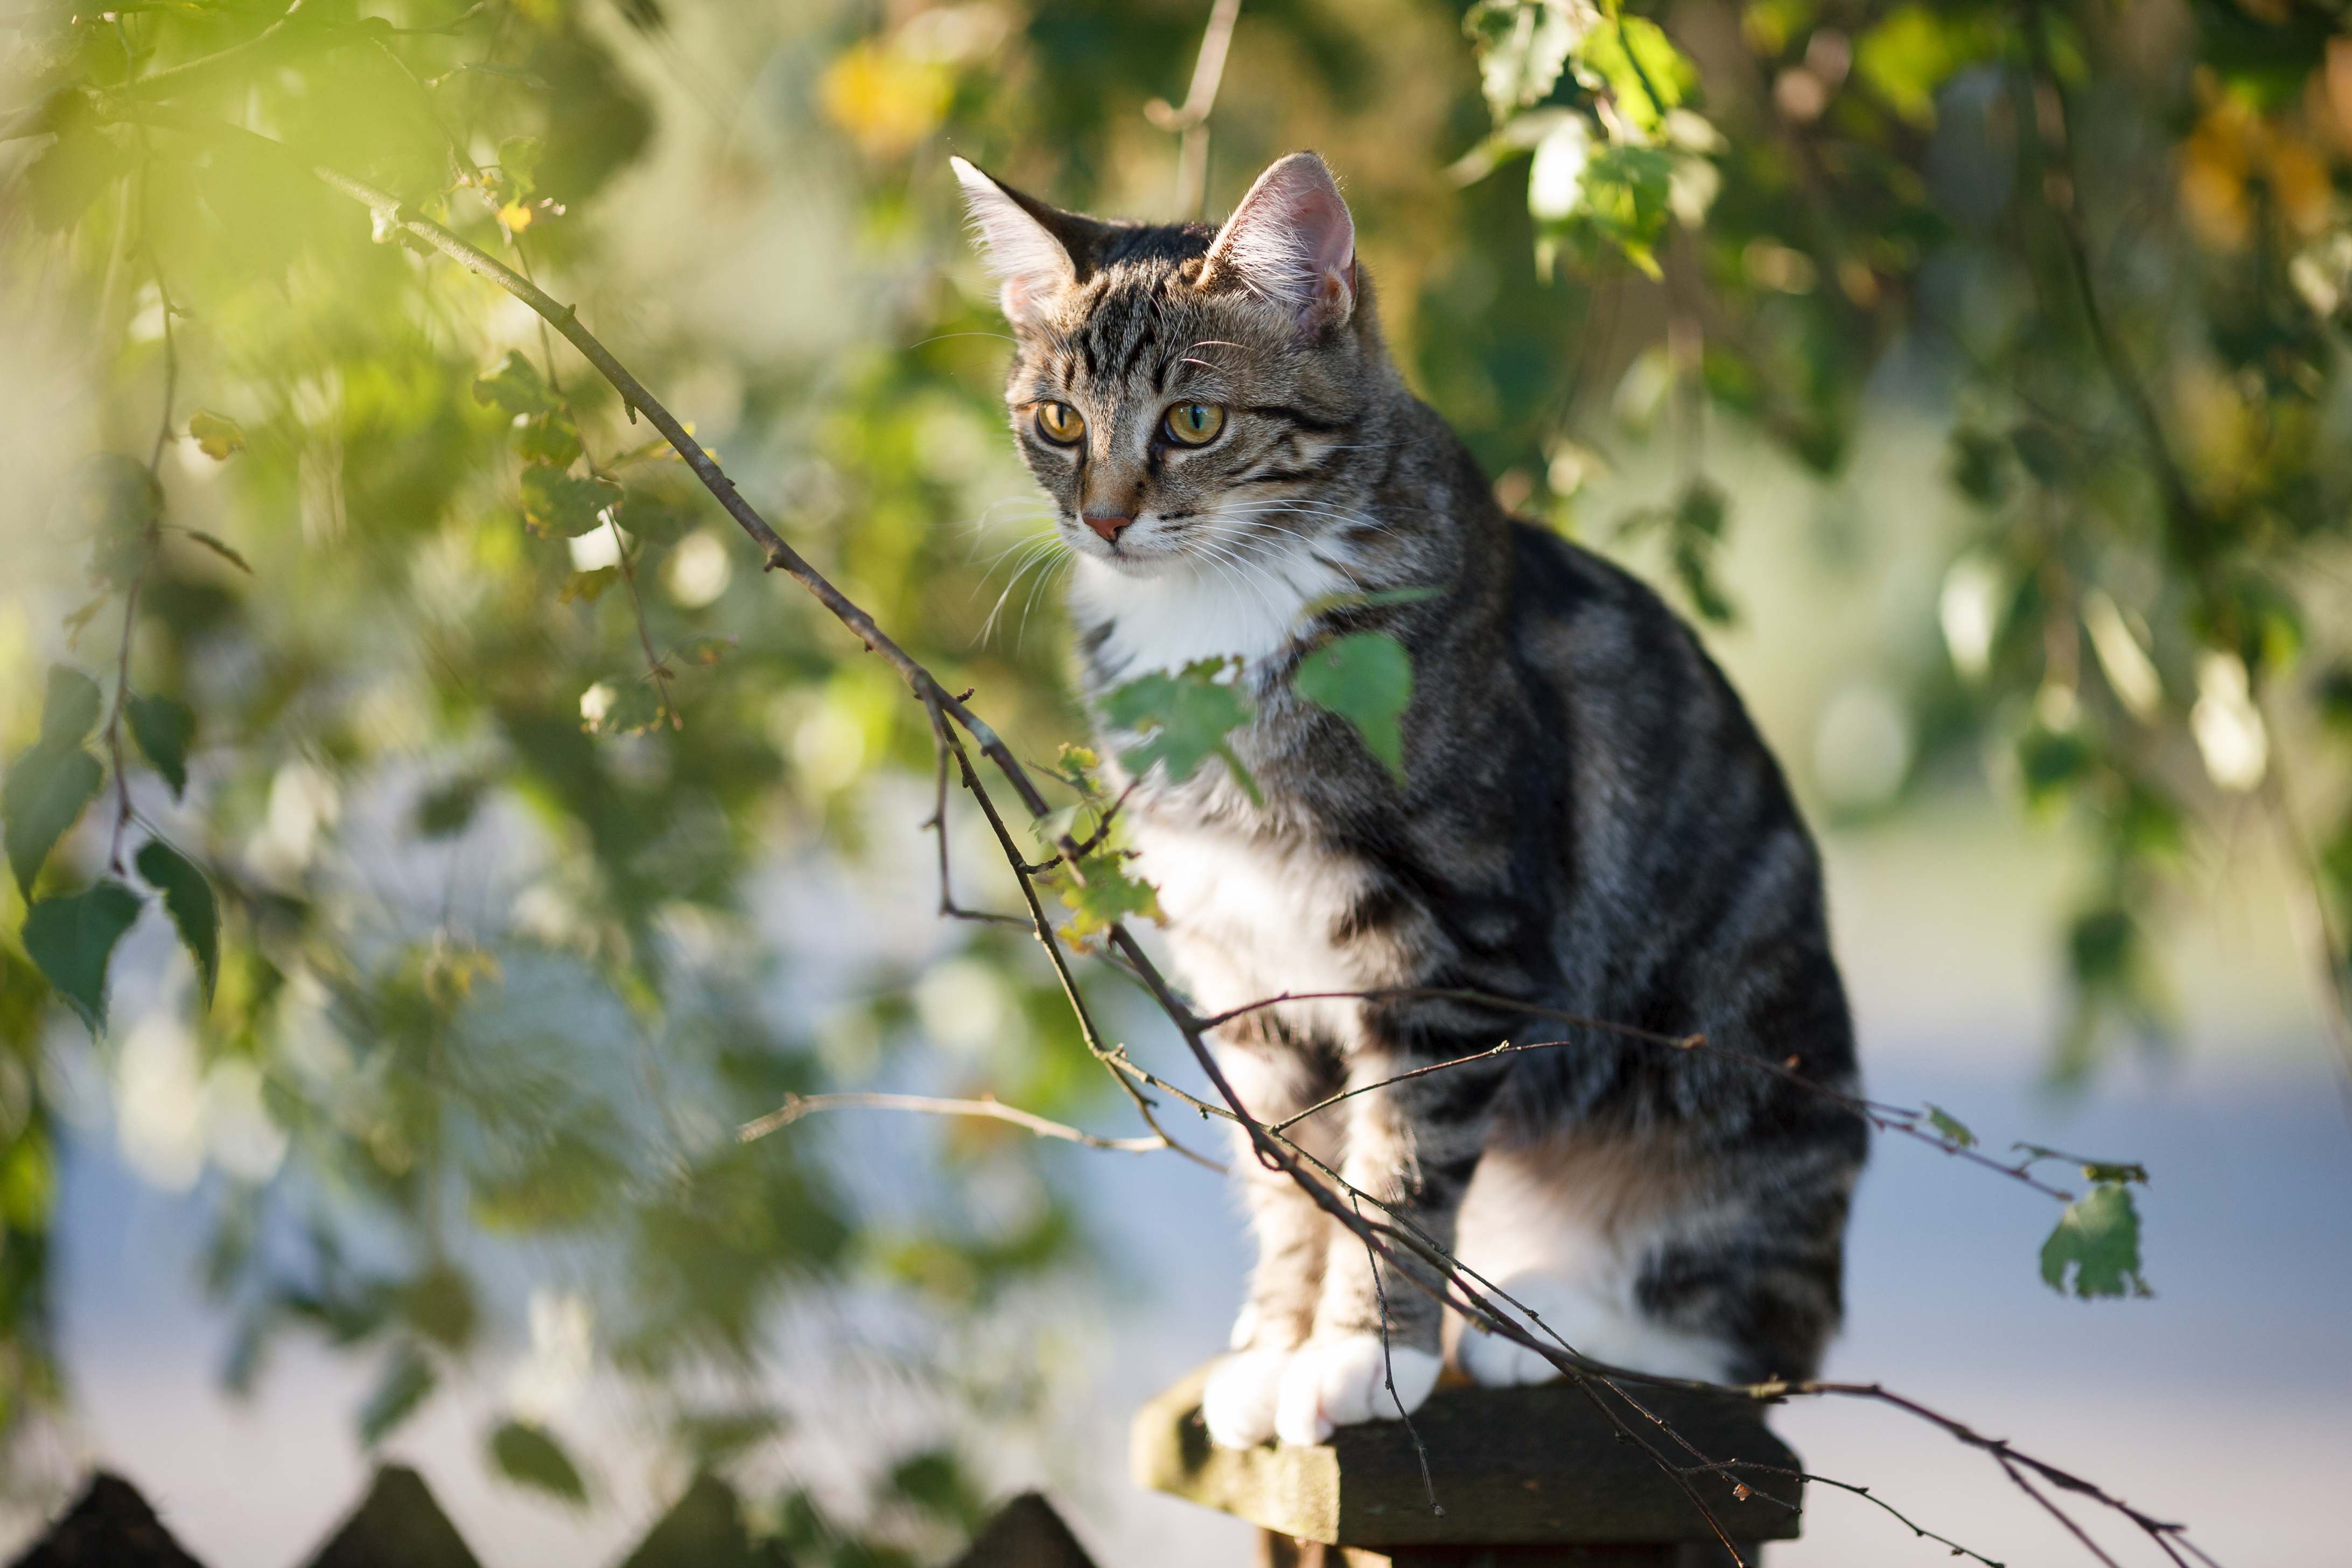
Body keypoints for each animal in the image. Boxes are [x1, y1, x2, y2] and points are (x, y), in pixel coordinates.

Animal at [945, 152, 1863, 1457]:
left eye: (1193, 421)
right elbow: (1289, 1174)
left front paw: (1362, 1354)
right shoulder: (1242, 974)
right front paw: (1275, 1344)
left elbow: (1401, 1169)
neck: (1215, 622)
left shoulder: (1456, 956)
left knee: (1766, 1334)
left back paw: (1551, 1323)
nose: (1107, 518)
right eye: (1058, 420)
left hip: (1732, 1089)